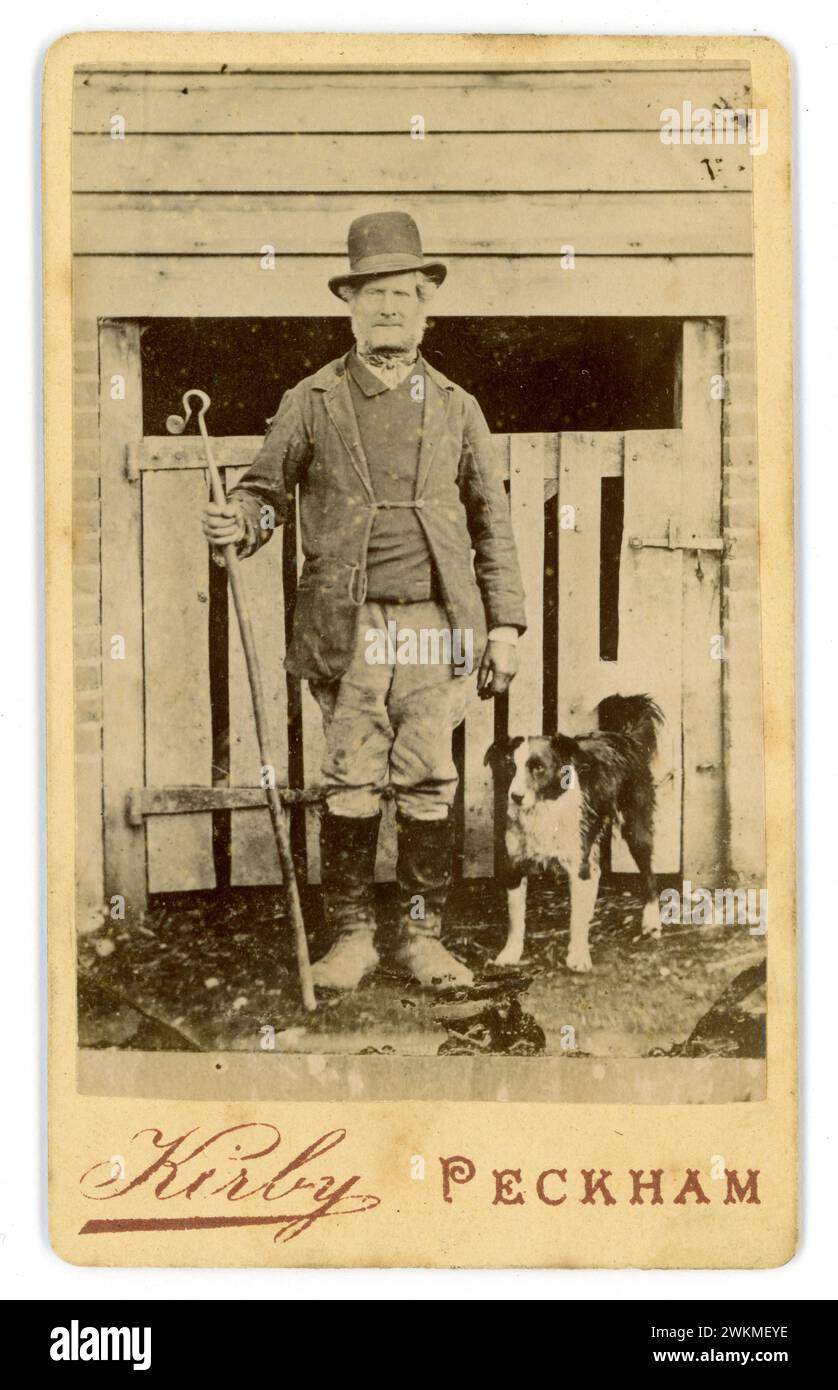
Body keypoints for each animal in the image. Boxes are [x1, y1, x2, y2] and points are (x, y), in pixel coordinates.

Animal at [480, 695, 664, 978]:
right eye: (509, 767)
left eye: (537, 768)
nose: (516, 796)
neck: (543, 811)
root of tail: (625, 737)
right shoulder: (514, 865)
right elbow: (516, 919)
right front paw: (510, 954)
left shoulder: (577, 866)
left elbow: (576, 920)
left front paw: (578, 955)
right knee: (598, 872)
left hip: (636, 830)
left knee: (649, 877)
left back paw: (652, 922)